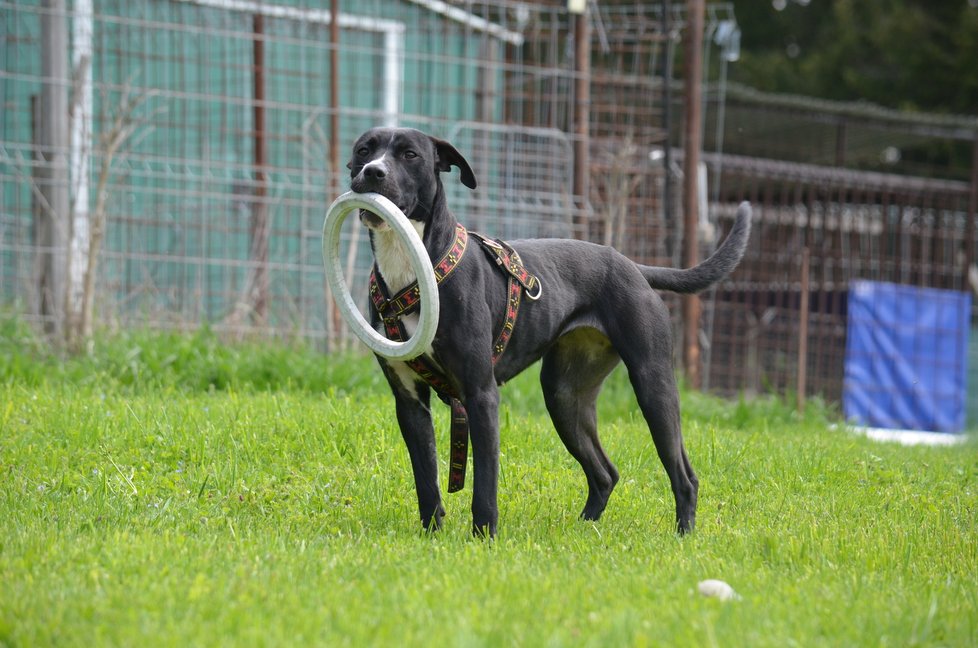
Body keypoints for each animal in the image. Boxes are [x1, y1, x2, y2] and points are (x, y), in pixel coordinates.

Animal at [346, 126, 752, 536]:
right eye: (364, 150)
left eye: (410, 154)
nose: (372, 172)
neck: (411, 267)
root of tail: (633, 266)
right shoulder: (410, 403)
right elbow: (426, 479)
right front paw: (431, 536)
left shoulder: (481, 395)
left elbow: (485, 483)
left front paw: (484, 538)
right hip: (565, 396)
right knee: (605, 473)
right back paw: (584, 529)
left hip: (653, 386)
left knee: (684, 475)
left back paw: (683, 534)